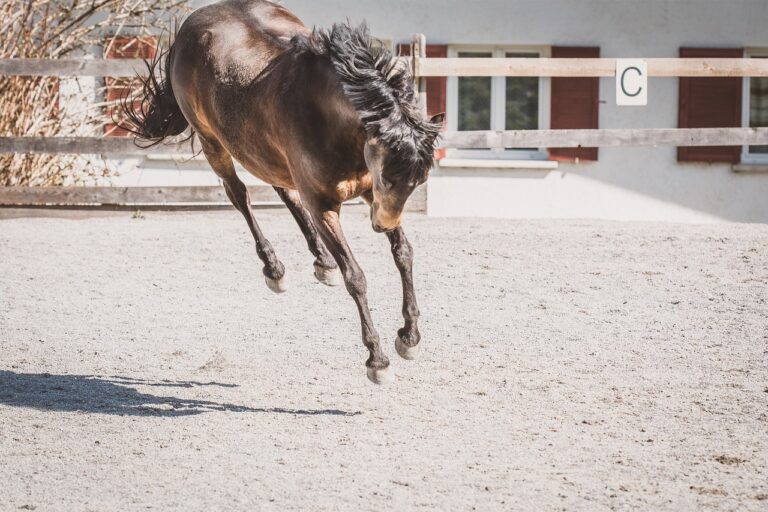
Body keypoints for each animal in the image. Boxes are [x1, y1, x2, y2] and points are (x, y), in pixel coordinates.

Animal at [123, 0, 444, 384]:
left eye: (418, 181)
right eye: (389, 176)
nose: (380, 226)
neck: (328, 115)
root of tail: (192, 23)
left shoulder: (371, 196)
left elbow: (403, 254)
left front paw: (409, 337)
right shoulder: (325, 206)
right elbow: (356, 277)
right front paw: (377, 360)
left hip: (261, 149)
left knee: (283, 190)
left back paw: (322, 262)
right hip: (213, 141)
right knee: (240, 195)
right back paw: (275, 268)